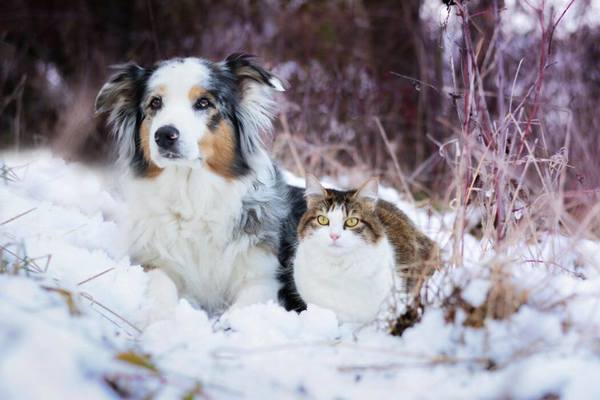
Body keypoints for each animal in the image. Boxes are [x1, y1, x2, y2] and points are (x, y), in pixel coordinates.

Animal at [96, 54, 308, 316]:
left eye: (204, 103)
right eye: (155, 103)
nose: (164, 135)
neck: (192, 194)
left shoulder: (262, 278)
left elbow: (245, 307)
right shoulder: (152, 260)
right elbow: (161, 285)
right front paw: (160, 316)